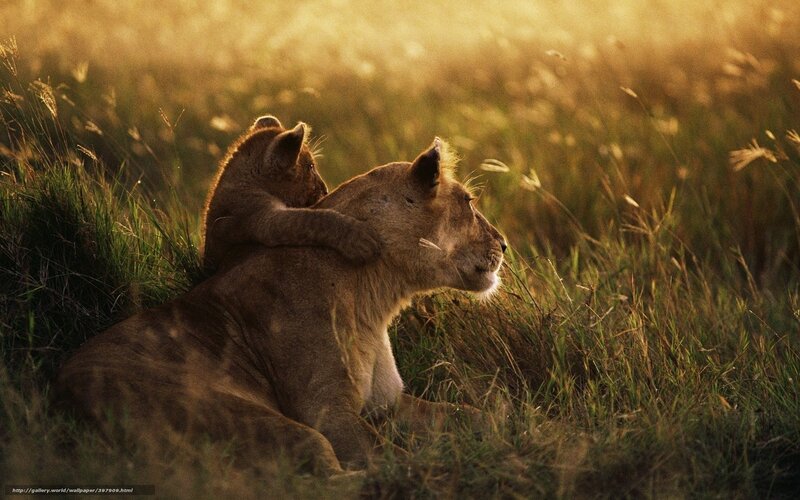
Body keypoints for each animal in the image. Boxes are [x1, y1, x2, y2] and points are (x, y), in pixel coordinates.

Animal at [54, 137, 506, 475]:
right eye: (468, 202)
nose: (504, 244)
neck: (375, 296)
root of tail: (62, 402)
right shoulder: (325, 411)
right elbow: (391, 458)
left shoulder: (388, 403)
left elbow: (475, 414)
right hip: (260, 421)